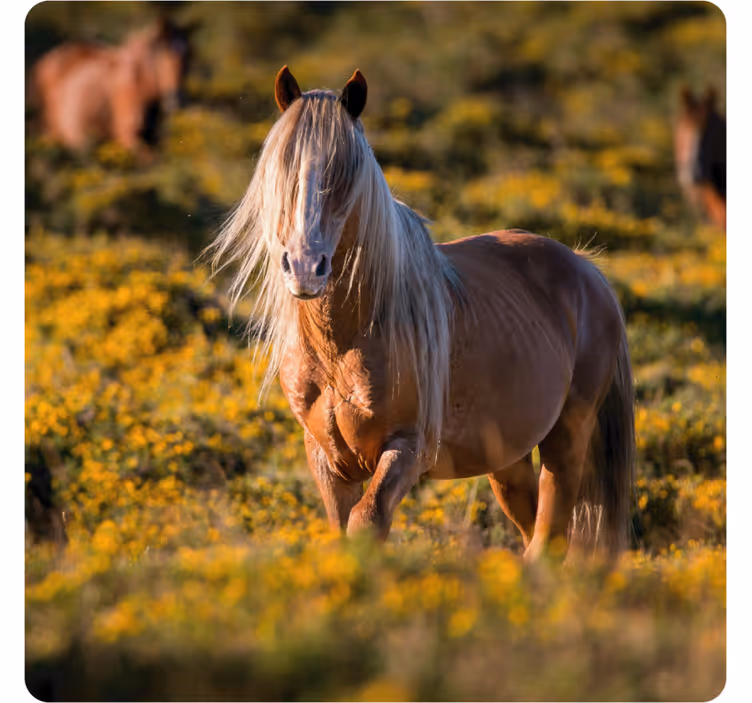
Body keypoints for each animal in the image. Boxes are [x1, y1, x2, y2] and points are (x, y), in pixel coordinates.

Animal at [206, 67, 635, 562]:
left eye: (344, 172)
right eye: (284, 168)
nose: (304, 265)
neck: (345, 343)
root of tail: (588, 270)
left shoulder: (407, 449)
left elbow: (367, 522)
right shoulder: (326, 459)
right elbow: (342, 527)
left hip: (566, 438)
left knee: (550, 536)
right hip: (508, 459)